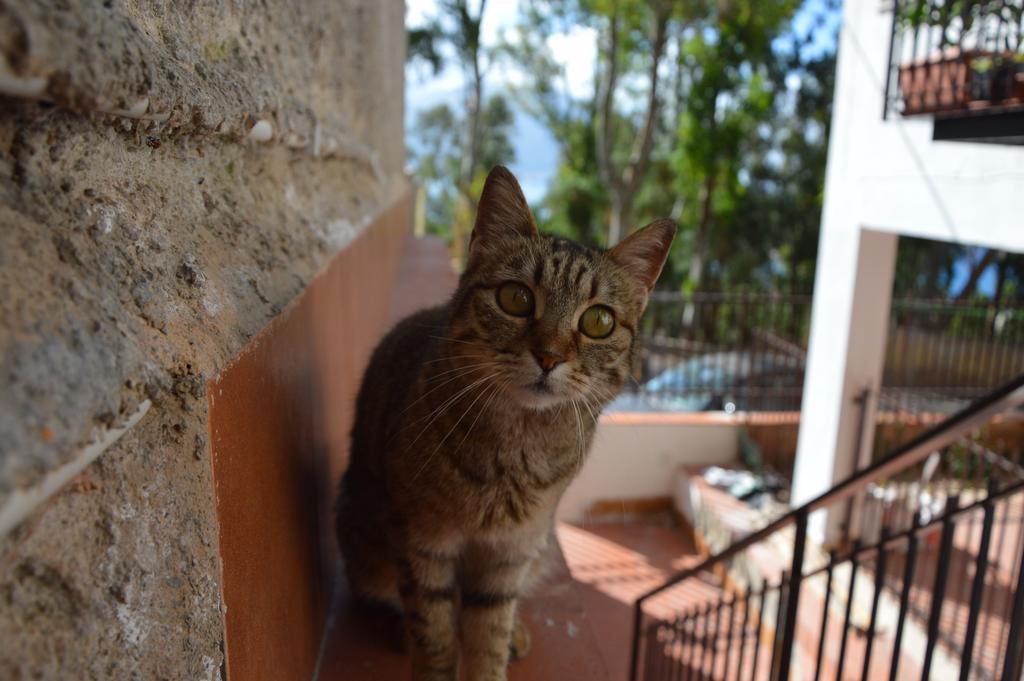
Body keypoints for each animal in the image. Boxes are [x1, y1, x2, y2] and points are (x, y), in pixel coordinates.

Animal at [335, 165, 671, 679]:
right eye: (515, 298)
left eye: (598, 321)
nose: (549, 356)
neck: (517, 448)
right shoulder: (422, 545)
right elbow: (434, 637)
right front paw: (432, 652)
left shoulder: (510, 554)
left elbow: (487, 633)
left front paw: (497, 644)